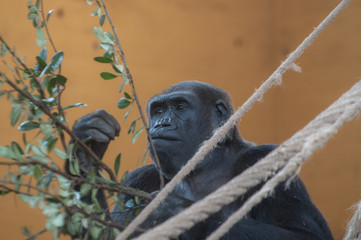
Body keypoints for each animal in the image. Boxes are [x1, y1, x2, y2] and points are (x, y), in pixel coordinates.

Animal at [71, 81, 334, 239]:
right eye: (158, 111)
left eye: (180, 106)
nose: (161, 124)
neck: (206, 165)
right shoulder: (139, 179)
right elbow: (109, 233)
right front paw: (85, 150)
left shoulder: (267, 159)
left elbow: (305, 234)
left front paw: (178, 210)